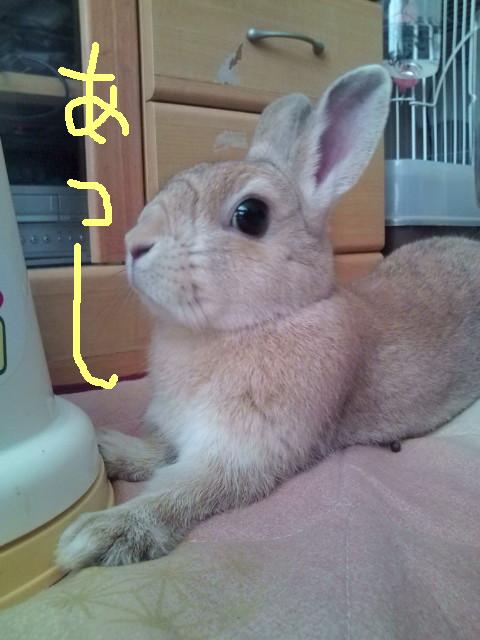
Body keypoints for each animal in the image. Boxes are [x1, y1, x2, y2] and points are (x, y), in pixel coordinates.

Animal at [56, 65, 480, 570]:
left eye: (251, 214)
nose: (134, 244)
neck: (260, 321)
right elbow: (156, 452)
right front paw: (105, 448)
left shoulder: (242, 454)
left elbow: (180, 489)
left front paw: (98, 535)